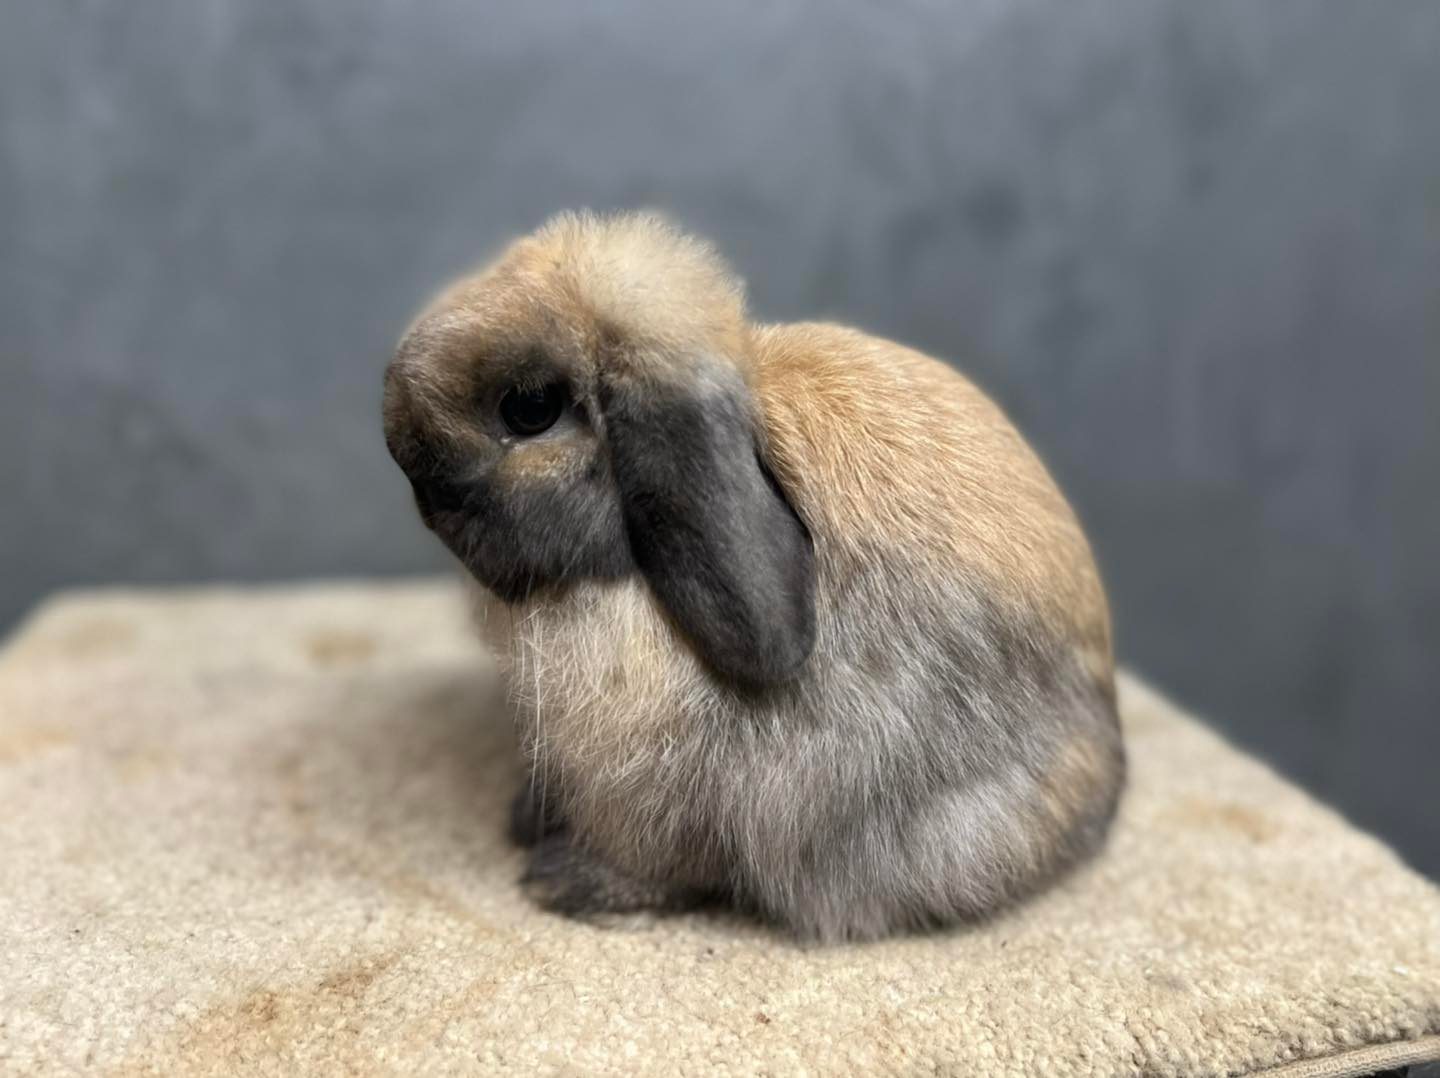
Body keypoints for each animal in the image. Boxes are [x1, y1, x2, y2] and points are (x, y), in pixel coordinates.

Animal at [382, 210, 1124, 942]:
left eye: (531, 408)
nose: (411, 469)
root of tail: (1108, 773)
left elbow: (656, 856)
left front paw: (564, 884)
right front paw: (524, 822)